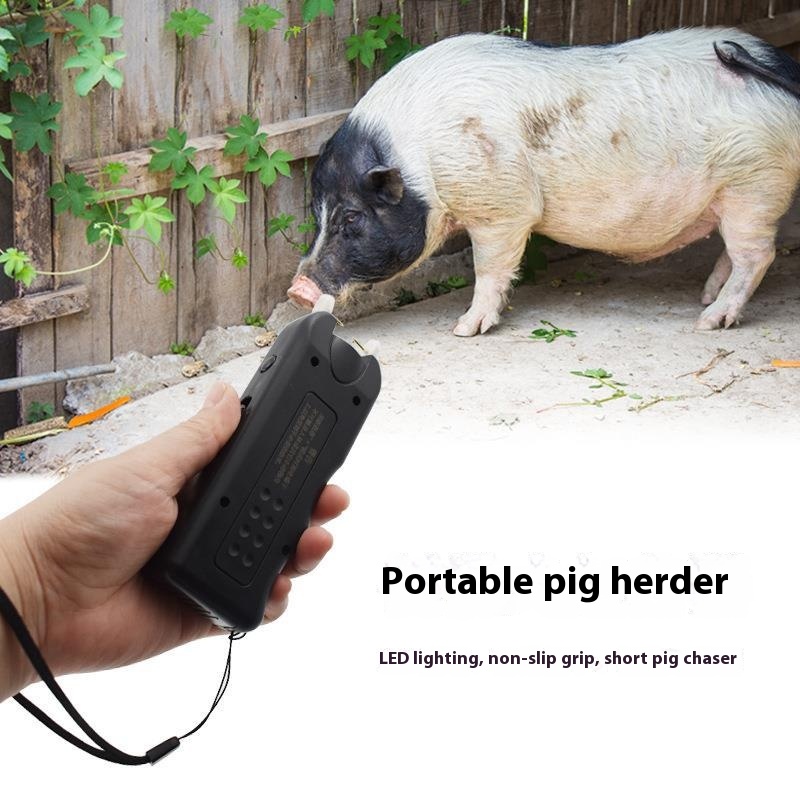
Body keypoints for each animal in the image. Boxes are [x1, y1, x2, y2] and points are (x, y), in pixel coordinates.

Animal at [288, 28, 800, 336]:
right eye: (317, 213)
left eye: (352, 217)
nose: (297, 287)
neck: (421, 163)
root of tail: (778, 67)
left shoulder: (500, 207)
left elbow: (490, 268)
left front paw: (464, 329)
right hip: (737, 195)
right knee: (734, 252)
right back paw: (705, 296)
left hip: (753, 186)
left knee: (758, 255)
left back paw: (709, 320)